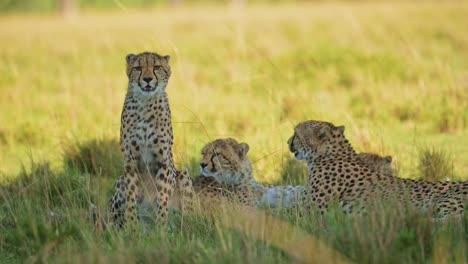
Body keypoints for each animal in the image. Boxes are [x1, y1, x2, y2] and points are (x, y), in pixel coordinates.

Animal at [109, 52, 196, 229]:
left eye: (156, 67)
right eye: (138, 68)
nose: (148, 79)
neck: (145, 103)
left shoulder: (163, 161)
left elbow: (162, 197)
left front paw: (161, 227)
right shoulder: (130, 160)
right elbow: (131, 196)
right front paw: (131, 227)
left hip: (183, 175)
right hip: (120, 181)